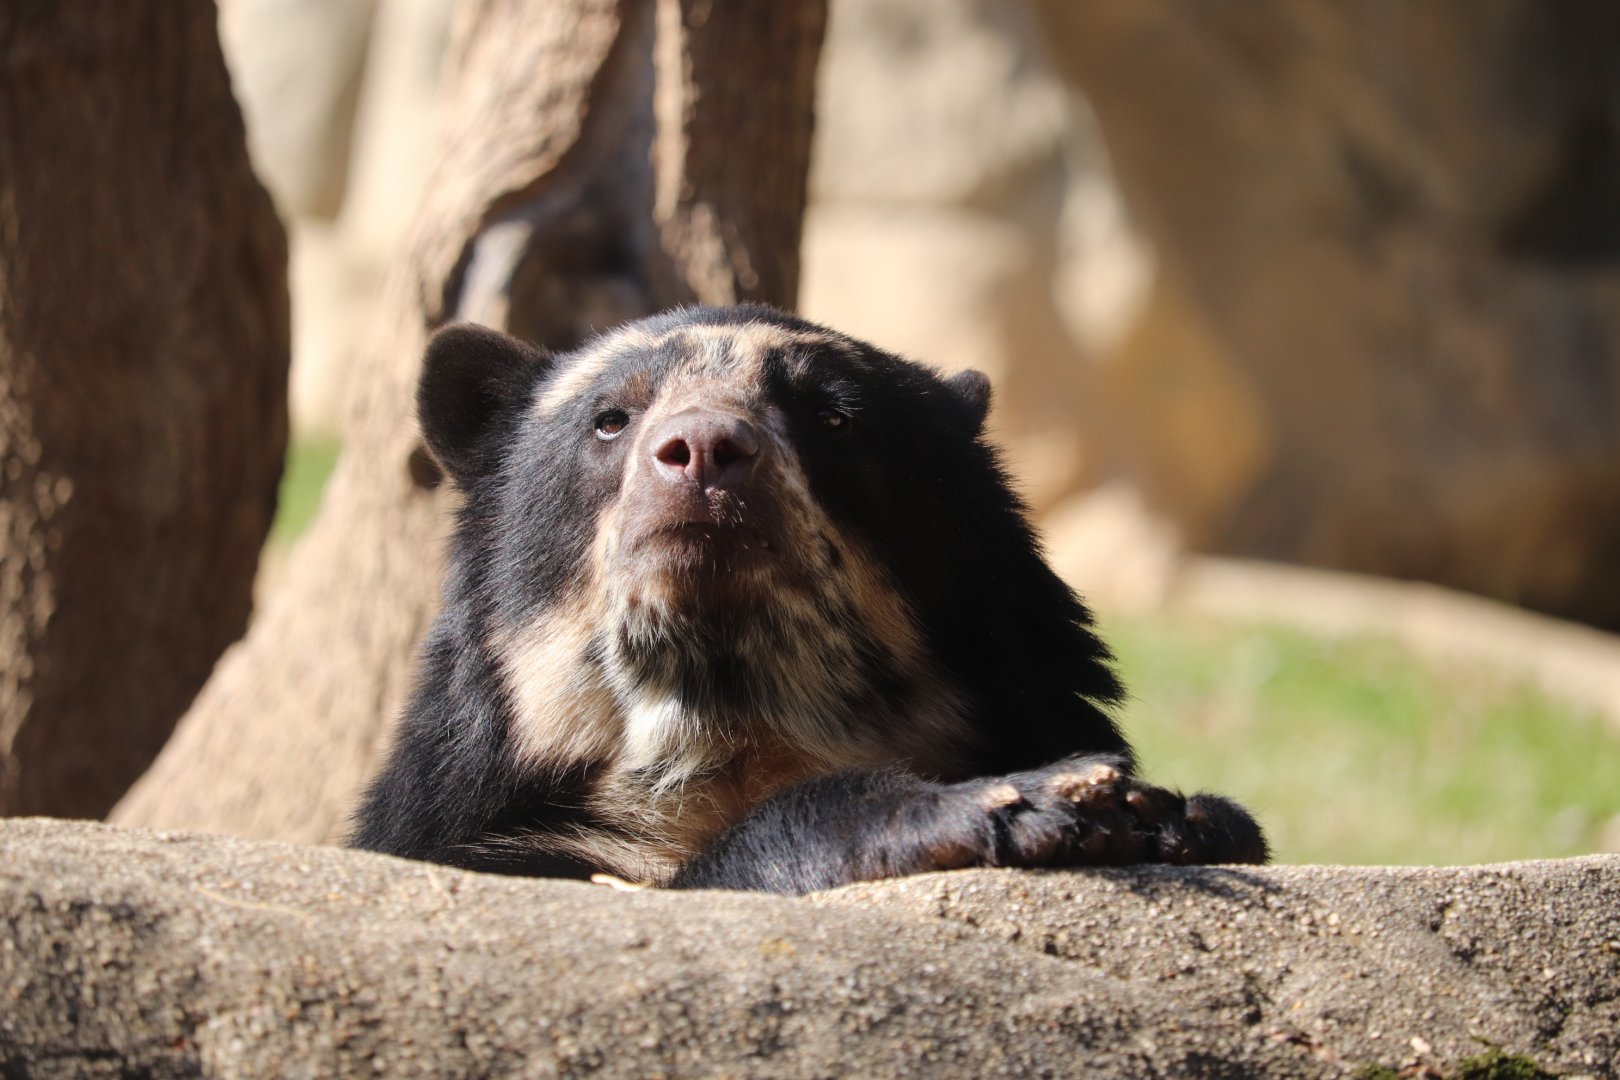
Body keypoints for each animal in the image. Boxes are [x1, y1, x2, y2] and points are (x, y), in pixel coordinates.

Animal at [351, 304, 1267, 893]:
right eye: (611, 419)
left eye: (833, 418)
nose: (704, 450)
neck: (732, 708)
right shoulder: (480, 829)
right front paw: (1031, 802)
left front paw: (1175, 817)